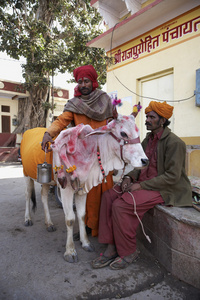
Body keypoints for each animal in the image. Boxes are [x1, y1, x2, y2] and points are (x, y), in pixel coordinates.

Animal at [20, 115, 148, 262]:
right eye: (123, 133)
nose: (145, 161)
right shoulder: (66, 189)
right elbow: (70, 219)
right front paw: (70, 251)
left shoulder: (82, 188)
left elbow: (81, 215)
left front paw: (85, 242)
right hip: (26, 174)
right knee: (27, 195)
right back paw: (27, 219)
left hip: (47, 181)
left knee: (44, 196)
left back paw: (49, 223)